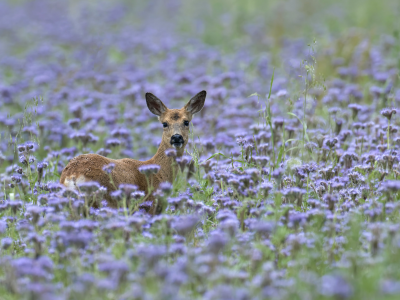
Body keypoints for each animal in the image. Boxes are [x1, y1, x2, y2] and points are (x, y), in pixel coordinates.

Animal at [59, 91, 206, 213]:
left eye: (186, 122)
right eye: (165, 123)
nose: (176, 137)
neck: (160, 172)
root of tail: (72, 175)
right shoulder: (150, 206)